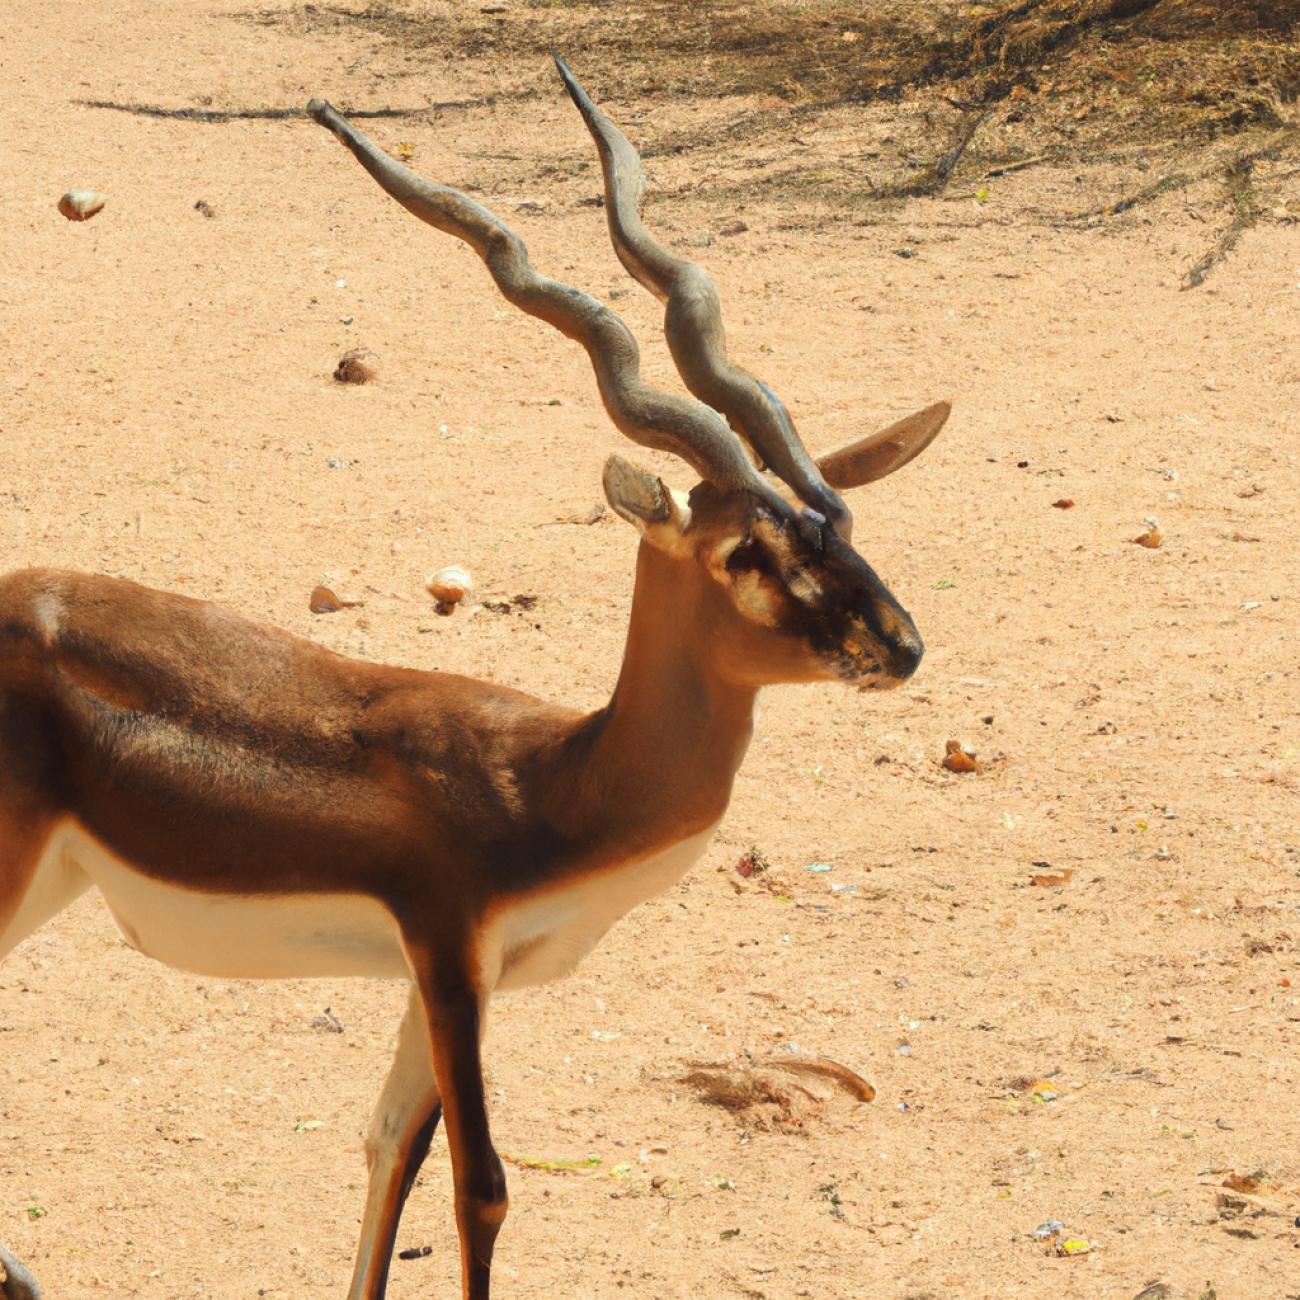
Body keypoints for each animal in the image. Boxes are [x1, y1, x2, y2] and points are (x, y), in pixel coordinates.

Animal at [0, 58, 951, 1300]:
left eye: (838, 522)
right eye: (746, 552)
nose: (901, 643)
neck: (551, 782)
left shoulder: (435, 978)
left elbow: (386, 1153)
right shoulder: (451, 952)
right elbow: (479, 1186)